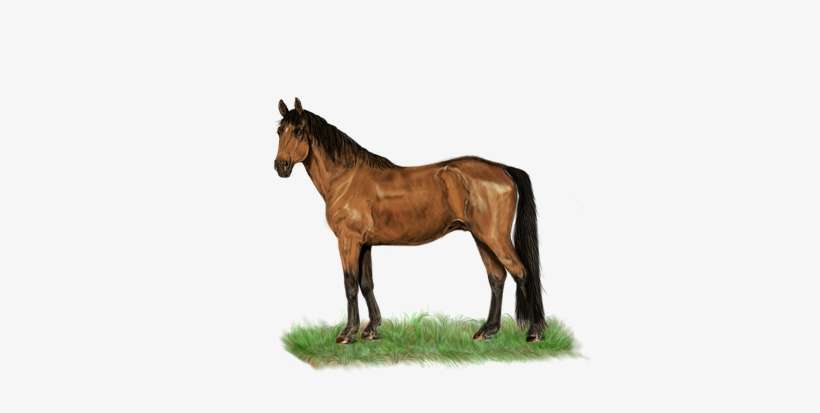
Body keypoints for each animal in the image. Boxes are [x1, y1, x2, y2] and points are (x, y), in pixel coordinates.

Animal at [274, 98, 546, 343]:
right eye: (279, 131)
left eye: (298, 131)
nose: (280, 166)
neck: (346, 178)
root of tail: (503, 169)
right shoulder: (365, 244)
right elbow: (366, 284)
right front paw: (371, 329)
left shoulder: (348, 241)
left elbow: (350, 284)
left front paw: (347, 333)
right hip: (481, 237)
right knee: (497, 278)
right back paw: (487, 331)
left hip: (494, 237)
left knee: (522, 273)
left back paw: (534, 332)